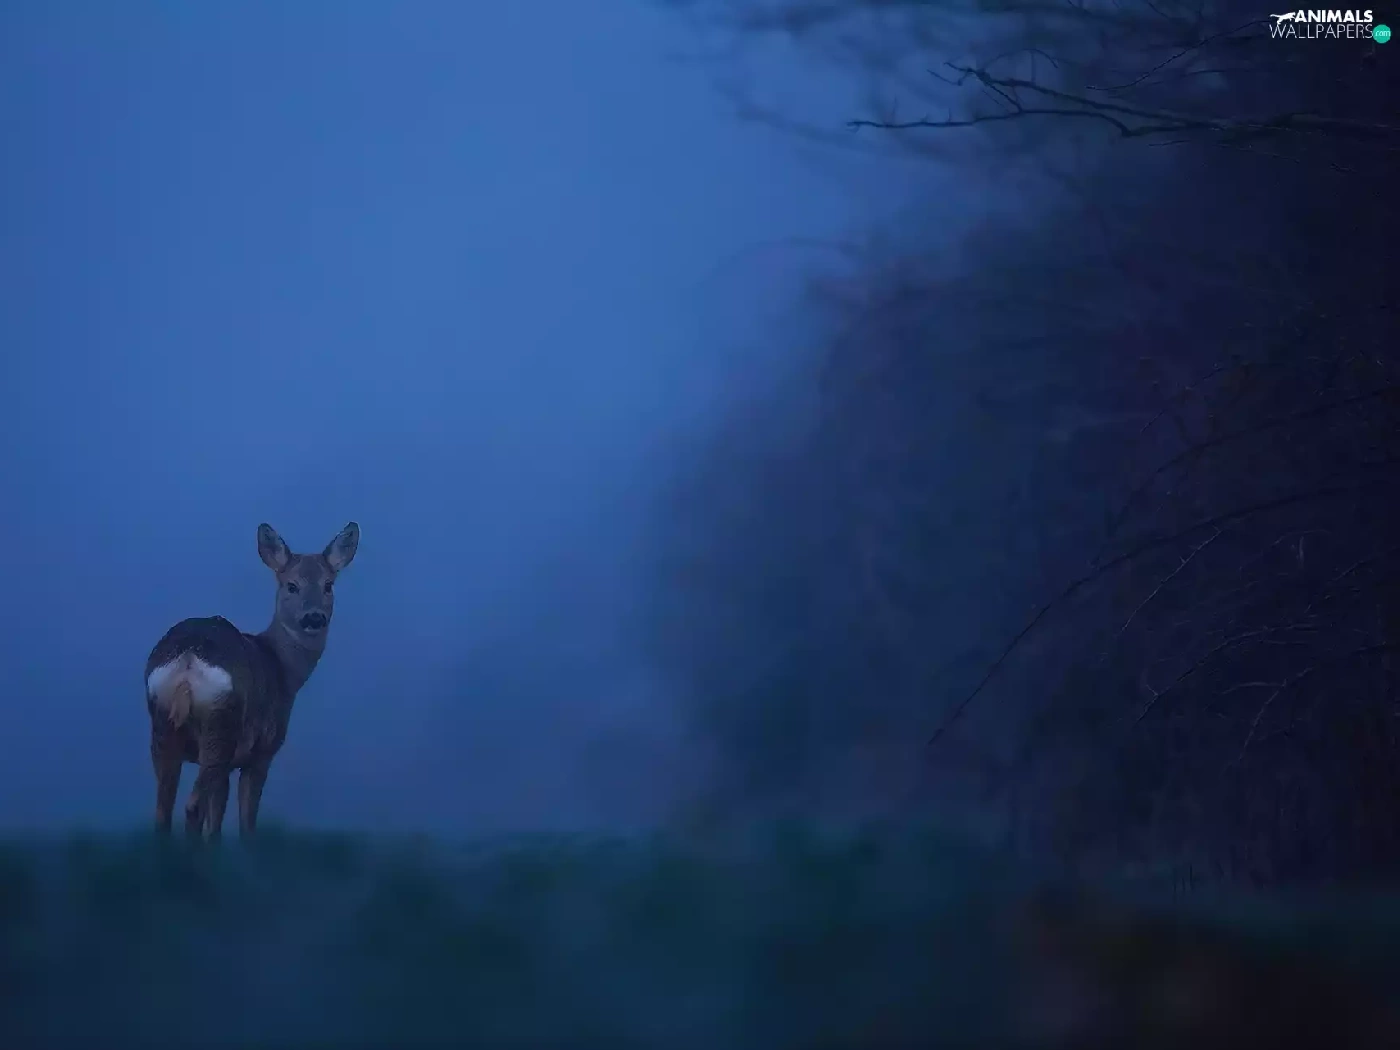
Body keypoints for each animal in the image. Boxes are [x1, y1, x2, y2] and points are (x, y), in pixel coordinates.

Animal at [144, 522, 359, 839]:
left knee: (162, 813)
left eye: (328, 585)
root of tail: (188, 659)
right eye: (291, 585)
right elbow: (246, 825)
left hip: (162, 727)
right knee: (193, 807)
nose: (314, 617)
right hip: (221, 727)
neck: (282, 669)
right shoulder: (261, 753)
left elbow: (216, 825)